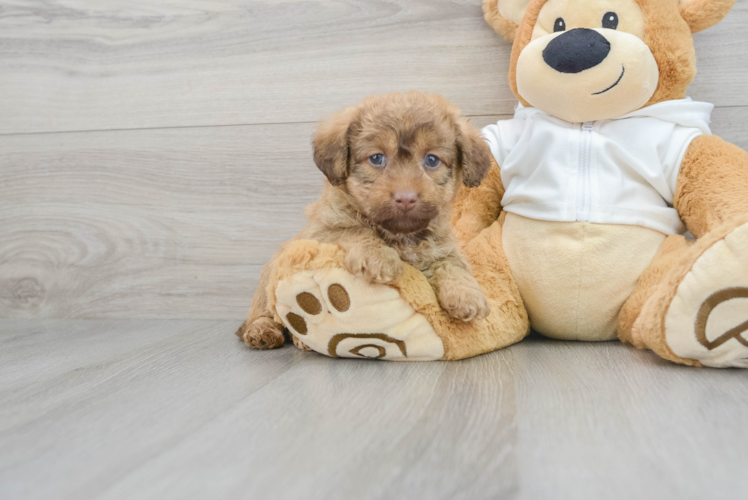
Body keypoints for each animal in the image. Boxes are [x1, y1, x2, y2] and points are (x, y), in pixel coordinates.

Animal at [238, 92, 490, 350]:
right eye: (377, 158)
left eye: (431, 160)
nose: (406, 198)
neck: (399, 234)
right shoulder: (323, 232)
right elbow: (356, 230)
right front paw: (379, 257)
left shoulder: (443, 246)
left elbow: (453, 265)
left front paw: (467, 295)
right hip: (269, 278)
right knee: (264, 312)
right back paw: (266, 331)